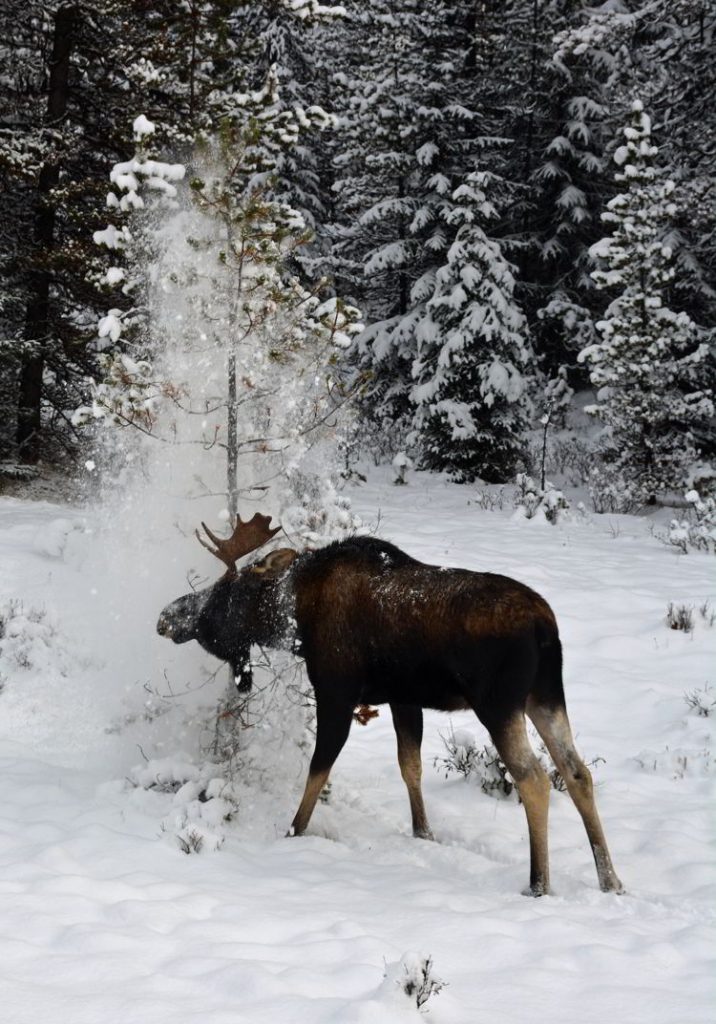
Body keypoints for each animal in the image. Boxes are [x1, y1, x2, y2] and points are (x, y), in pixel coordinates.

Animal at [155, 512, 622, 897]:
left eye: (223, 592)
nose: (165, 616)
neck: (296, 621)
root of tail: (546, 628)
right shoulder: (403, 698)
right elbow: (409, 766)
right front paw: (423, 833)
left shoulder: (336, 691)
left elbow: (318, 769)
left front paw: (292, 833)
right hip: (545, 696)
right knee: (577, 772)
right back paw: (610, 880)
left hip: (499, 703)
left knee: (534, 778)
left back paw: (539, 883)